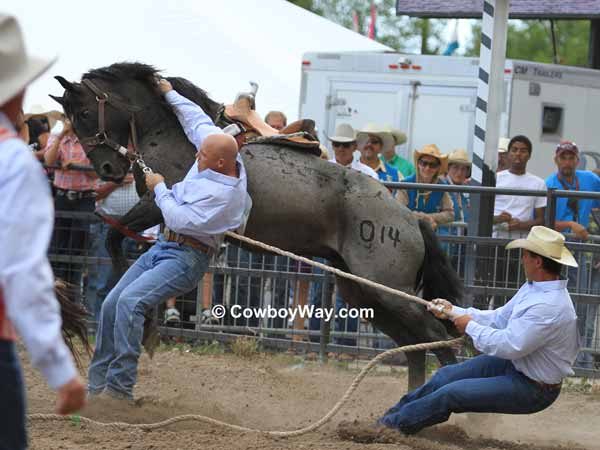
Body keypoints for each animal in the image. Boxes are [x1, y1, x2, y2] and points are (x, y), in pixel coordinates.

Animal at [52, 63, 464, 390]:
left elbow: (113, 237)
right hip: (363, 294)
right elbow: (115, 239)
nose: (107, 169)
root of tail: (411, 219)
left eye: (85, 112)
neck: (175, 134)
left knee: (435, 337)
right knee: (414, 347)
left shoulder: (158, 204)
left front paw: (147, 322)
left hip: (389, 290)